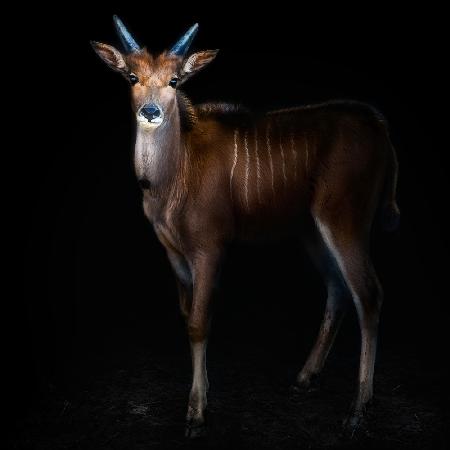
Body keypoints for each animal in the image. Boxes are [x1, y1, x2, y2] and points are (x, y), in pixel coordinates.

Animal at [89, 15, 400, 438]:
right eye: (132, 76)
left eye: (175, 81)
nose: (151, 112)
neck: (173, 176)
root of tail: (379, 126)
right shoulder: (174, 254)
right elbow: (187, 317)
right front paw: (202, 399)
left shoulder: (209, 248)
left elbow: (199, 322)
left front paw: (196, 414)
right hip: (312, 230)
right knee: (338, 288)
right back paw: (304, 378)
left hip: (343, 218)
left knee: (368, 293)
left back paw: (356, 411)